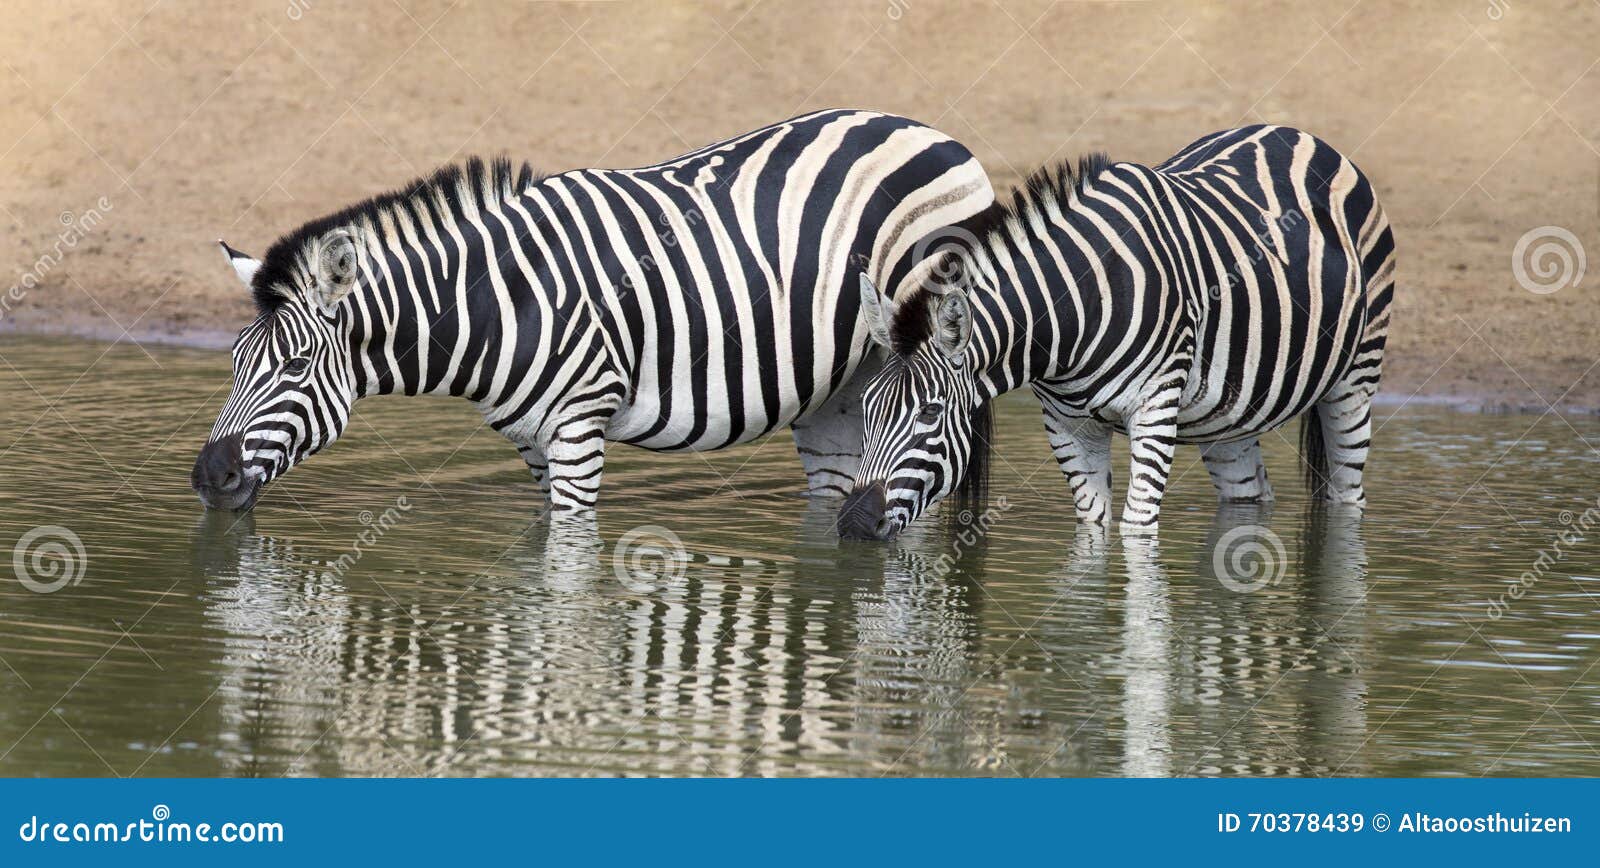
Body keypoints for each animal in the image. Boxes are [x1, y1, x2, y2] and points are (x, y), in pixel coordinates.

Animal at [193, 108, 992, 518]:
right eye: (233, 363)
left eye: (296, 366)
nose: (206, 477)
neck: (502, 303)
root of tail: (937, 133)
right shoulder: (530, 441)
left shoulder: (579, 427)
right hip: (845, 389)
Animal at [844, 125, 1395, 541]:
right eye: (866, 408)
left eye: (930, 413)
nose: (853, 523)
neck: (1073, 315)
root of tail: (1294, 133)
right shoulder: (1068, 426)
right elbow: (1092, 530)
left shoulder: (1155, 411)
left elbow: (1136, 531)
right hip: (1228, 417)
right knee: (1249, 496)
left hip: (1356, 378)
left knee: (1348, 494)